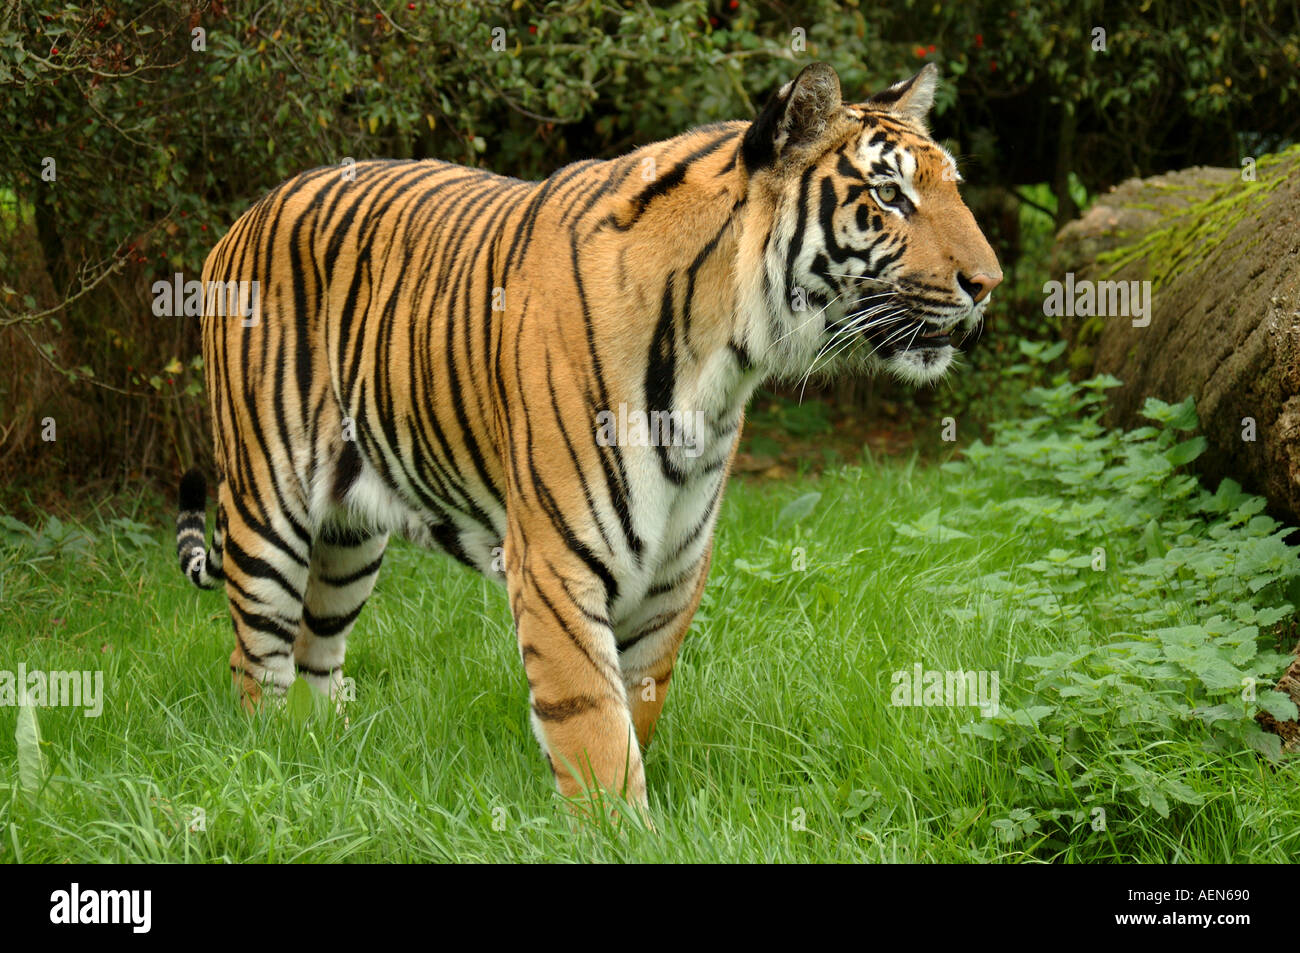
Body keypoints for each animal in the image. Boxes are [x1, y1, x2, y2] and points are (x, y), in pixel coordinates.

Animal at [175, 63, 1003, 816]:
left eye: (952, 186)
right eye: (889, 195)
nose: (988, 283)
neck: (725, 362)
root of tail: (246, 216)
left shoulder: (674, 571)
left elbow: (633, 704)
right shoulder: (555, 561)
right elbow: (593, 724)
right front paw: (620, 829)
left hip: (349, 540)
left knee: (314, 653)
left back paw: (323, 757)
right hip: (267, 507)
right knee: (256, 660)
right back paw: (272, 773)